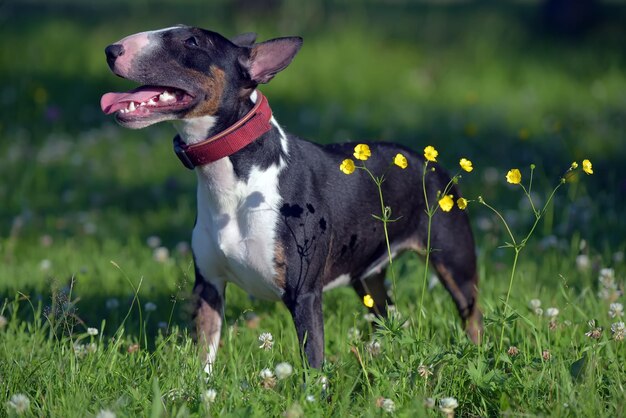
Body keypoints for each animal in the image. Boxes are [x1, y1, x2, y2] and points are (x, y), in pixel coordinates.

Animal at [100, 26, 480, 372]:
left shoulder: (305, 294)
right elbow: (204, 351)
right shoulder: (208, 285)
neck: (233, 180)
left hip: (454, 260)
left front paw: (313, 396)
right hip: (366, 273)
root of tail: (430, 162)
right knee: (383, 311)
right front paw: (196, 390)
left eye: (192, 41)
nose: (112, 49)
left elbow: (312, 360)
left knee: (472, 312)